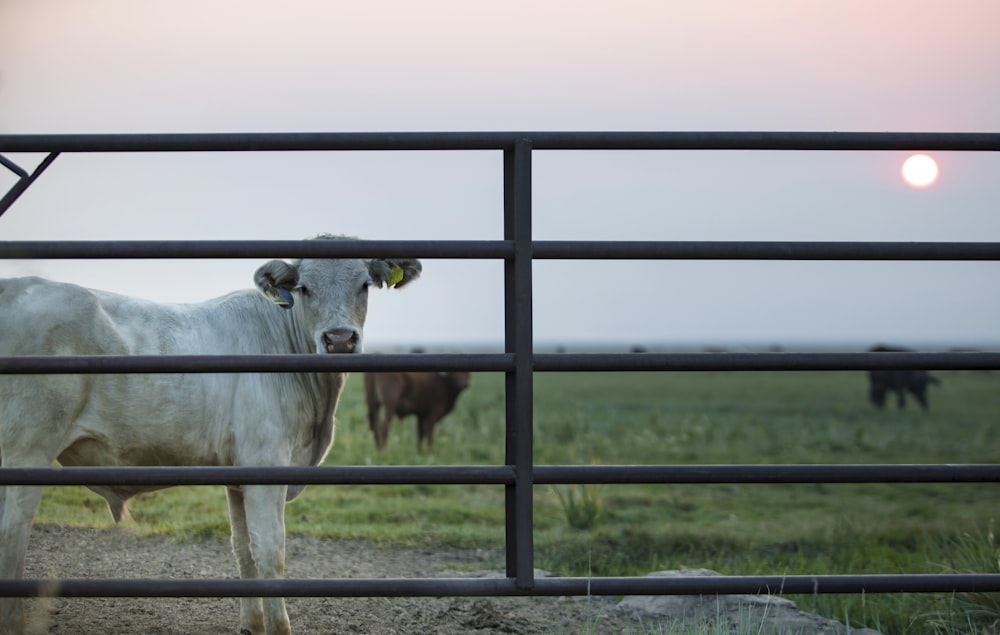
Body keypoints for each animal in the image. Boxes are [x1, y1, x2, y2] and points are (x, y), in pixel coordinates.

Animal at [0, 235, 422, 635]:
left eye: (364, 285)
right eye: (304, 287)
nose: (339, 340)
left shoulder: (239, 475)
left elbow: (243, 549)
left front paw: (252, 624)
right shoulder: (267, 463)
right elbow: (271, 551)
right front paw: (279, 627)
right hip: (27, 451)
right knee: (12, 537)